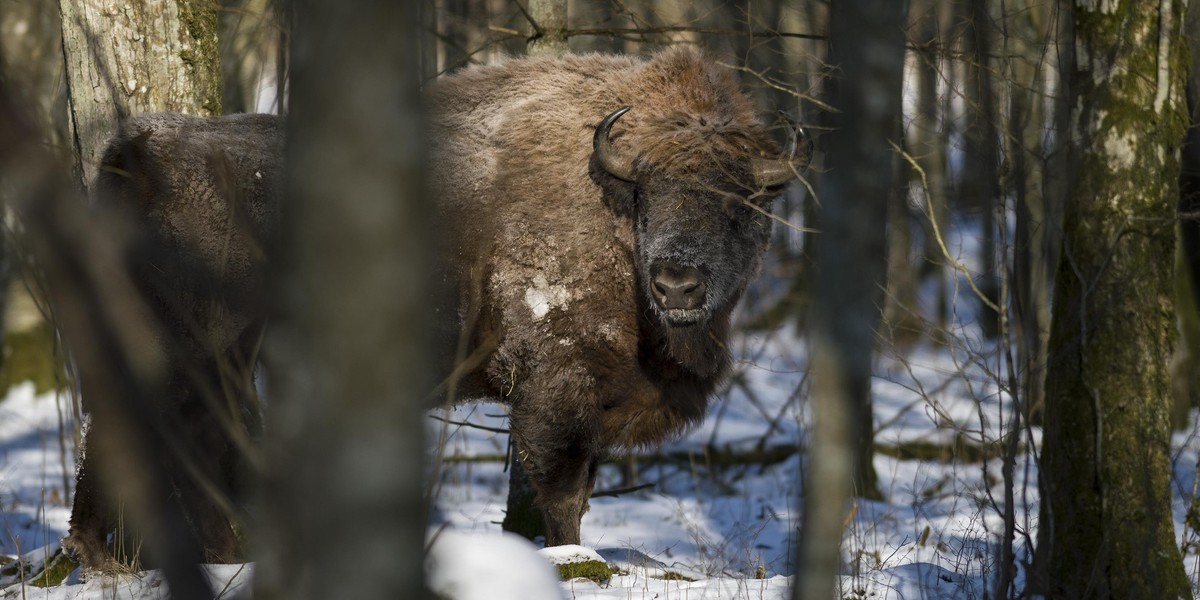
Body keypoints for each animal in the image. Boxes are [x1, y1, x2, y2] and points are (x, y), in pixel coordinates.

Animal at [68, 46, 816, 566]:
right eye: (650, 192)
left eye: (740, 201)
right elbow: (563, 490)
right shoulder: (555, 390)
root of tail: (137, 148)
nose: (677, 284)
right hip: (193, 343)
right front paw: (570, 557)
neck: (611, 210)